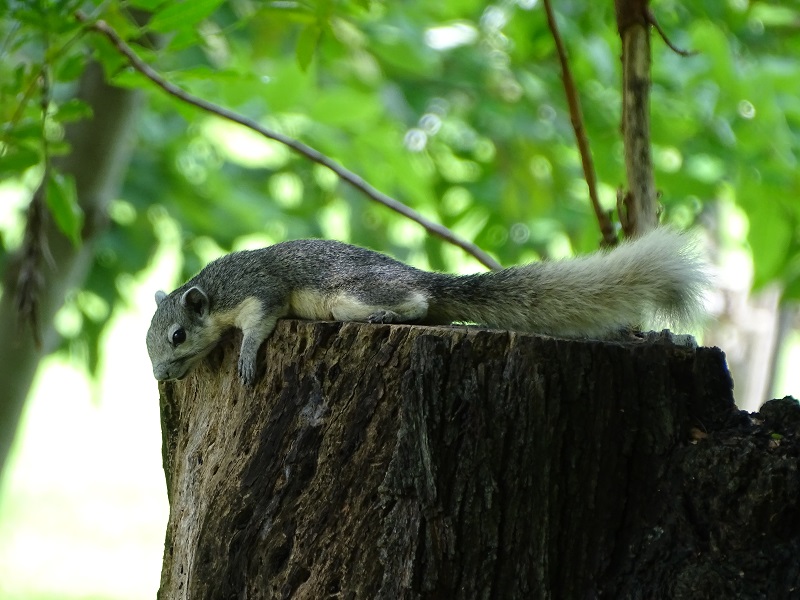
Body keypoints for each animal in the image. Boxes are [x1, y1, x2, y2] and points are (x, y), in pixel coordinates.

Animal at [146, 228, 707, 386]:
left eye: (177, 336)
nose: (159, 378)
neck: (214, 289)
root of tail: (422, 276)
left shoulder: (261, 292)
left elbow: (260, 325)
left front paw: (245, 357)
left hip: (351, 295)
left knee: (418, 303)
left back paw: (392, 313)